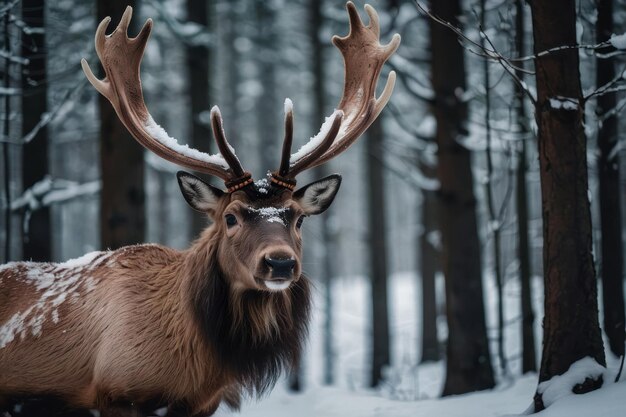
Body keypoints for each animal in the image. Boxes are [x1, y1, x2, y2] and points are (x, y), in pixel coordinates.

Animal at [0, 3, 400, 416]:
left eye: (299, 218)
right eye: (230, 217)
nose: (280, 263)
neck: (193, 368)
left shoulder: (203, 403)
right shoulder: (115, 392)